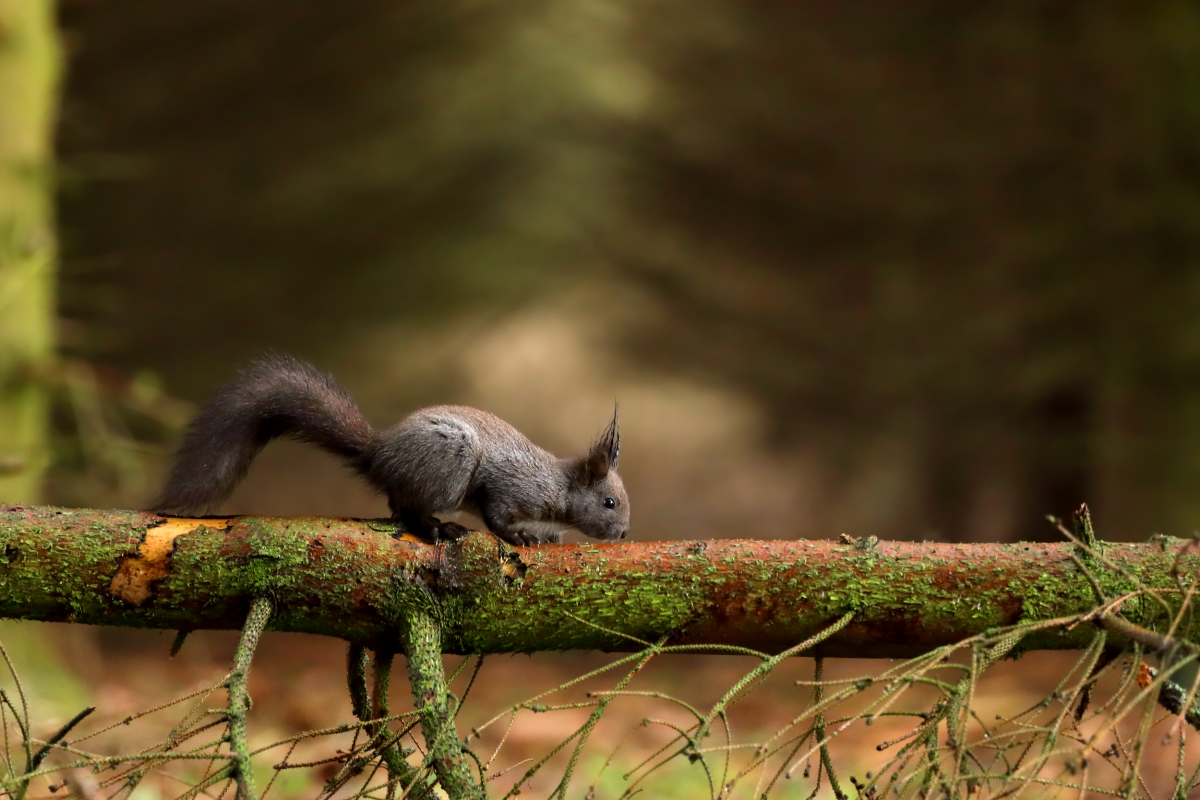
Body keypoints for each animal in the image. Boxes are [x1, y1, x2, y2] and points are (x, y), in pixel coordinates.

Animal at [152, 357, 628, 551]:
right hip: (450, 464)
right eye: (608, 502)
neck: (558, 484)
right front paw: (519, 537)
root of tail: (380, 454)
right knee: (409, 509)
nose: (624, 534)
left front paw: (549, 537)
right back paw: (439, 528)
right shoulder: (511, 487)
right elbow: (498, 516)